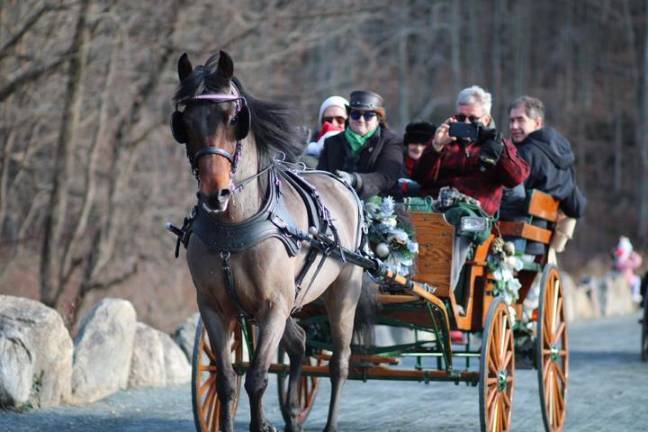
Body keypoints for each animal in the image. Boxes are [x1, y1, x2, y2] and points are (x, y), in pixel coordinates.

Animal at [171, 51, 364, 432]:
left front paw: (261, 424)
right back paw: (293, 414)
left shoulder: (273, 306)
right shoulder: (214, 307)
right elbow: (226, 381)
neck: (235, 224)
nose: (215, 194)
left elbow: (257, 378)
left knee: (339, 364)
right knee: (300, 345)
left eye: (234, 118)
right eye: (184, 121)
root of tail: (342, 183)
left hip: (343, 292)